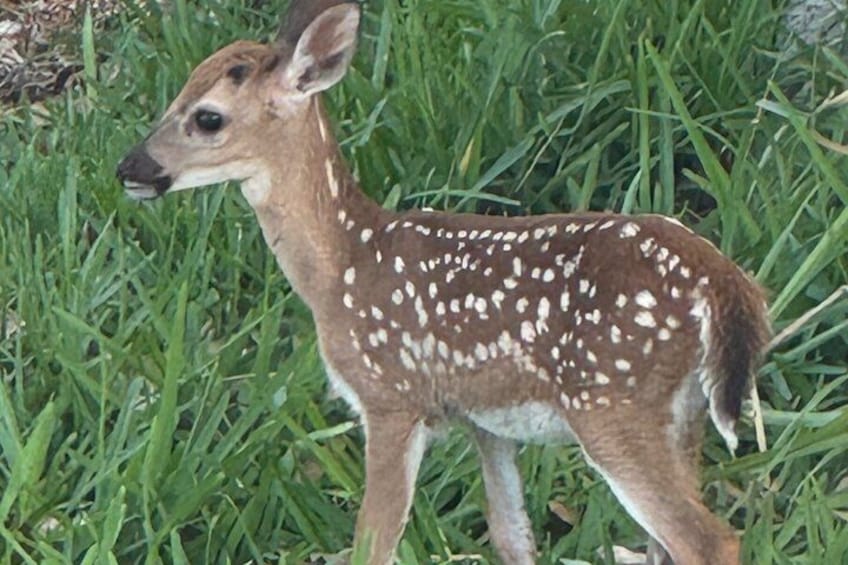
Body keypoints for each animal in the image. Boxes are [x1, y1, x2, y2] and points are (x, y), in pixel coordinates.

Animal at [116, 1, 770, 564]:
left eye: (207, 117)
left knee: (708, 540)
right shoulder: (485, 421)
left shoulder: (390, 396)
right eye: (177, 93)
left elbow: (372, 544)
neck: (341, 266)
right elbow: (511, 536)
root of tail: (721, 280)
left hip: (613, 403)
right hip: (680, 415)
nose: (129, 168)